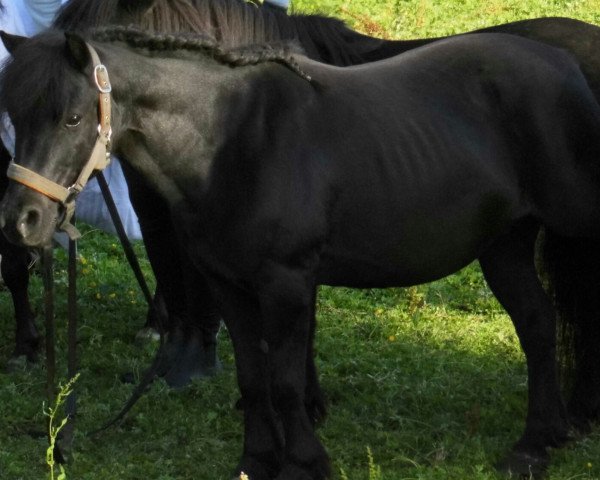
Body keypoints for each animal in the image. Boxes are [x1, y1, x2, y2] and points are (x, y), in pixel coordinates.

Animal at [3, 27, 600, 480]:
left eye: (72, 118)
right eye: (14, 115)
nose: (21, 221)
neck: (232, 137)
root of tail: (568, 64)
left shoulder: (286, 283)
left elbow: (287, 382)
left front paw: (305, 463)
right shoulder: (228, 284)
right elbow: (253, 377)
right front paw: (256, 460)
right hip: (504, 245)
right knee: (538, 324)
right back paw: (535, 445)